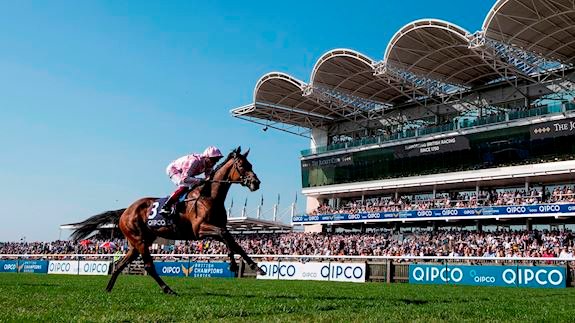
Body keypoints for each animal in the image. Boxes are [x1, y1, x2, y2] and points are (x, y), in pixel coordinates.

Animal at [70, 148, 266, 294]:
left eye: (251, 164)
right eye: (241, 165)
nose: (256, 183)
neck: (209, 196)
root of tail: (125, 212)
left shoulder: (213, 228)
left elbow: (230, 241)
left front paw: (235, 264)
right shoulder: (200, 229)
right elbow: (228, 237)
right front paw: (255, 266)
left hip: (137, 243)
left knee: (119, 264)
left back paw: (108, 289)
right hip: (139, 240)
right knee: (149, 266)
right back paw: (167, 289)